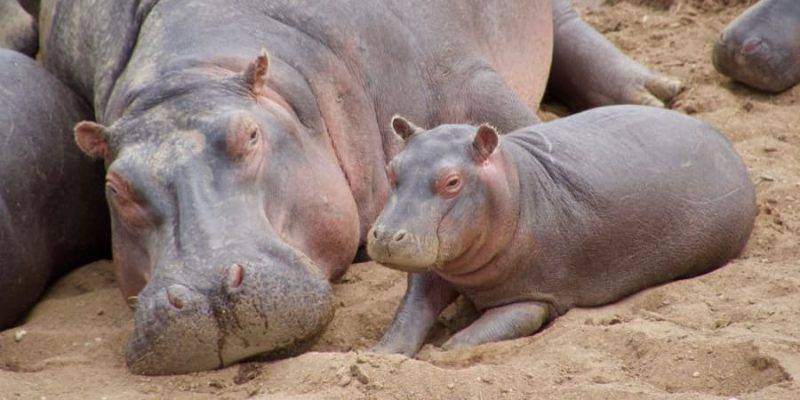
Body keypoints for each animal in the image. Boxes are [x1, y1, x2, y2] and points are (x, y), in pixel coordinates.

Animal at [36, 0, 680, 376]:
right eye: (116, 186)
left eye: (249, 134)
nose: (207, 293)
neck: (192, 77)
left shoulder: (461, 75)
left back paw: (655, 94)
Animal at [368, 104, 756, 354]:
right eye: (391, 168)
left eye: (452, 181)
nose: (385, 235)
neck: (515, 188)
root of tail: (724, 141)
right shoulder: (432, 270)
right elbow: (408, 316)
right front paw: (378, 353)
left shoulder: (533, 297)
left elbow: (465, 341)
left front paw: (439, 351)